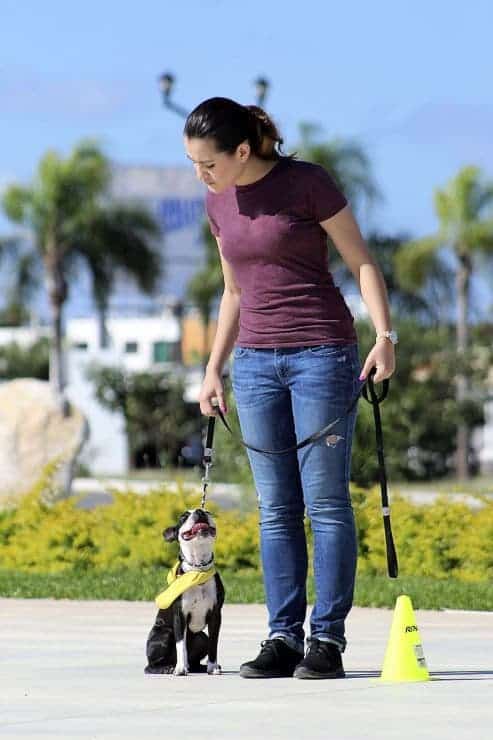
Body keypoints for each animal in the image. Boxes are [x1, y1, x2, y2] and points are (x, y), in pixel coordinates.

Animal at [144, 508, 225, 676]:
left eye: (208, 512)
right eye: (183, 517)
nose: (200, 511)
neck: (198, 570)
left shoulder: (216, 615)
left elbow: (214, 643)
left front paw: (212, 667)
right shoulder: (179, 615)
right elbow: (181, 645)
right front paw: (180, 668)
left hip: (201, 637)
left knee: (195, 659)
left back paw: (200, 667)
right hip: (164, 635)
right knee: (150, 665)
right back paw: (167, 668)